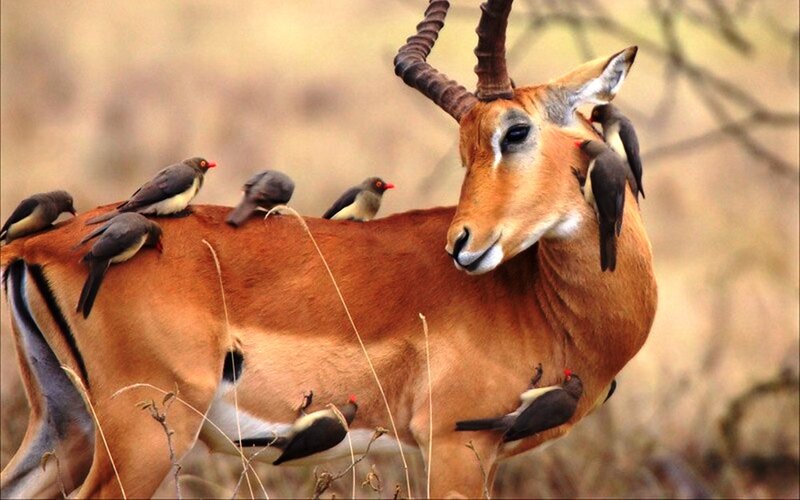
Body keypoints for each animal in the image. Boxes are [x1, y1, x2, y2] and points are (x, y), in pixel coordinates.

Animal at [0, 0, 657, 497]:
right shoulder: (455, 445)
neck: (542, 301)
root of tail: (38, 247)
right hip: (141, 441)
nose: (462, 245)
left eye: (515, 131)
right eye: (466, 147)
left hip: (66, 430)